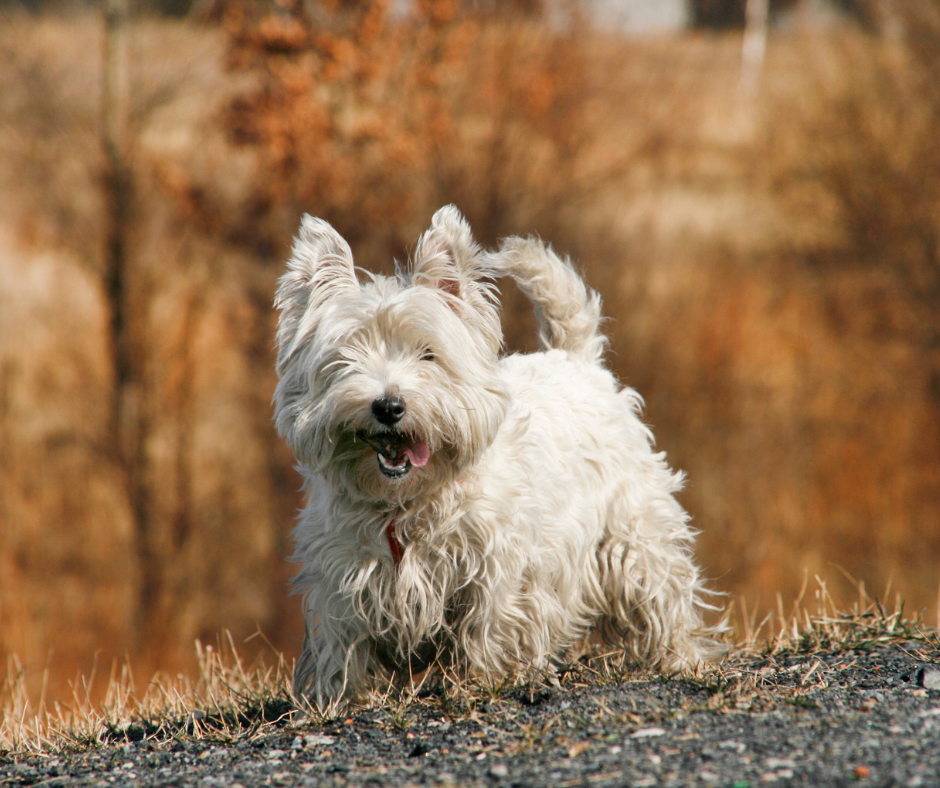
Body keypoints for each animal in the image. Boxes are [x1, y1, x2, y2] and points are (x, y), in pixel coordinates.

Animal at [276, 206, 716, 704]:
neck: (406, 503)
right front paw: (342, 698)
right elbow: (344, 645)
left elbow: (491, 625)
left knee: (660, 592)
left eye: (428, 354)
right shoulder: (342, 579)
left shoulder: (498, 568)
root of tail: (578, 360)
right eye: (346, 356)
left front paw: (487, 680)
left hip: (633, 532)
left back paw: (679, 658)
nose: (388, 406)